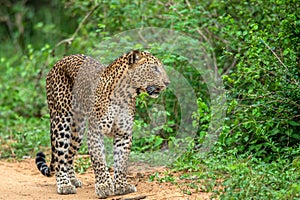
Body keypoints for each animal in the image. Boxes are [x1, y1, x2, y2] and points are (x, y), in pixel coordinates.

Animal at [35, 50, 169, 198]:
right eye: (154, 68)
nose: (167, 83)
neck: (124, 95)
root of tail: (60, 61)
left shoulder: (124, 134)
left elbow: (121, 161)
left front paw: (121, 186)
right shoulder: (95, 131)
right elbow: (99, 161)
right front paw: (104, 186)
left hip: (78, 129)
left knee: (68, 155)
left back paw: (73, 180)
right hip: (62, 121)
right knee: (60, 156)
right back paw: (64, 184)